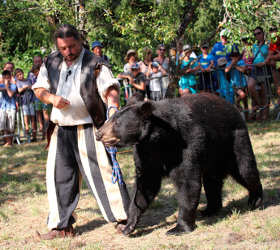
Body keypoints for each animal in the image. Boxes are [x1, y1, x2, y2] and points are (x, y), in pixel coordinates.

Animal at [95, 93, 262, 235]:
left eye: (116, 123)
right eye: (110, 119)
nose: (98, 134)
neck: (158, 140)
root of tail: (234, 107)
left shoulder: (187, 143)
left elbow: (187, 182)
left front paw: (178, 228)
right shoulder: (145, 153)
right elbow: (145, 184)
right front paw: (127, 226)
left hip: (234, 140)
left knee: (245, 169)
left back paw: (255, 200)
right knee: (212, 181)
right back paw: (209, 209)